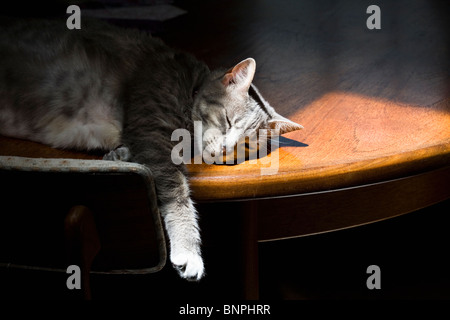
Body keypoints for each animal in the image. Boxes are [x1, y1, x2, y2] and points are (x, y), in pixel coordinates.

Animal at [0, 18, 302, 280]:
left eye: (247, 144)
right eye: (228, 120)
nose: (226, 149)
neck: (188, 88)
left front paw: (119, 154)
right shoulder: (152, 134)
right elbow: (177, 192)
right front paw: (189, 250)